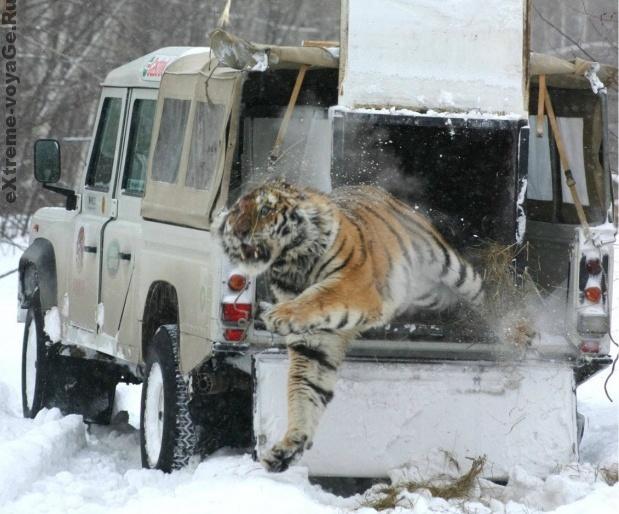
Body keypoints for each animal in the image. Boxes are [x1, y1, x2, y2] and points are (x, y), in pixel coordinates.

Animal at [213, 181, 484, 472]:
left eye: (265, 210)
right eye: (236, 212)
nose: (239, 230)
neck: (291, 266)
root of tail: (375, 188)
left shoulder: (352, 285)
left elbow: (318, 295)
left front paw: (279, 314)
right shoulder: (315, 343)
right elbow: (304, 391)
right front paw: (289, 447)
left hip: (448, 266)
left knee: (480, 288)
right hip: (426, 291)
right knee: (448, 299)